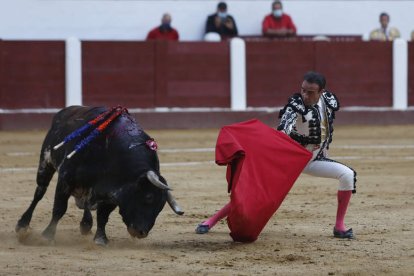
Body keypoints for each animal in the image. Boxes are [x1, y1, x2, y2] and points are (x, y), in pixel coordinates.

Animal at [15, 106, 183, 246]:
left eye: (161, 206)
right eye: (148, 197)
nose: (141, 233)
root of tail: (65, 111)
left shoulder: (112, 194)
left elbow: (103, 216)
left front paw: (101, 239)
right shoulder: (65, 179)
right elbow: (59, 208)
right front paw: (47, 236)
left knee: (86, 204)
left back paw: (85, 225)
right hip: (46, 162)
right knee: (39, 192)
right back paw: (22, 226)